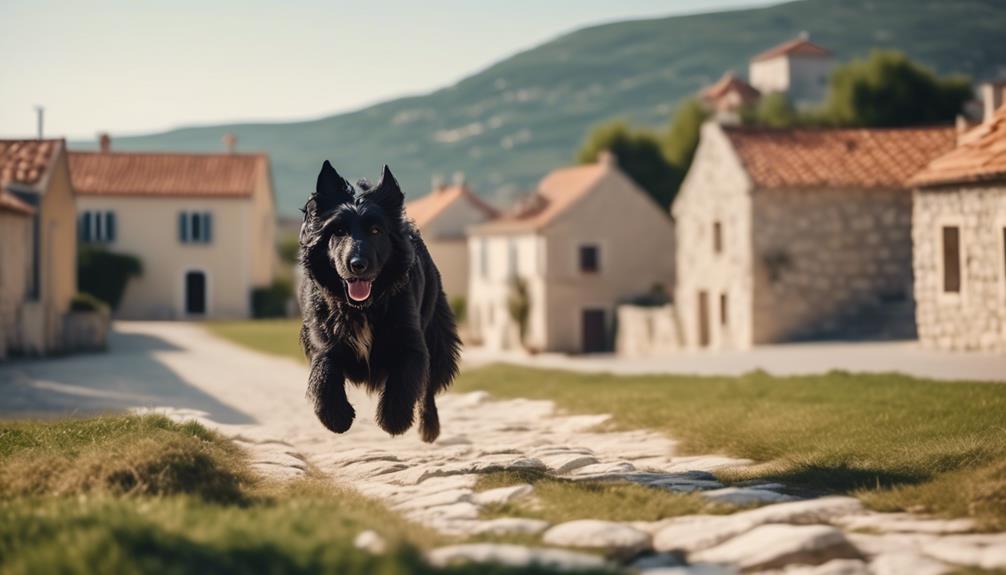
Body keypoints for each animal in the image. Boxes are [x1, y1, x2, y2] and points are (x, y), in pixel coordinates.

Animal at [293, 159, 460, 442]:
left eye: (375, 230)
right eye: (338, 230)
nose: (357, 265)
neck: (362, 308)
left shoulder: (412, 340)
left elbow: (406, 376)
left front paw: (393, 419)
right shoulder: (322, 339)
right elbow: (323, 372)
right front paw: (336, 417)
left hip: (436, 336)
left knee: (428, 386)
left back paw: (429, 427)